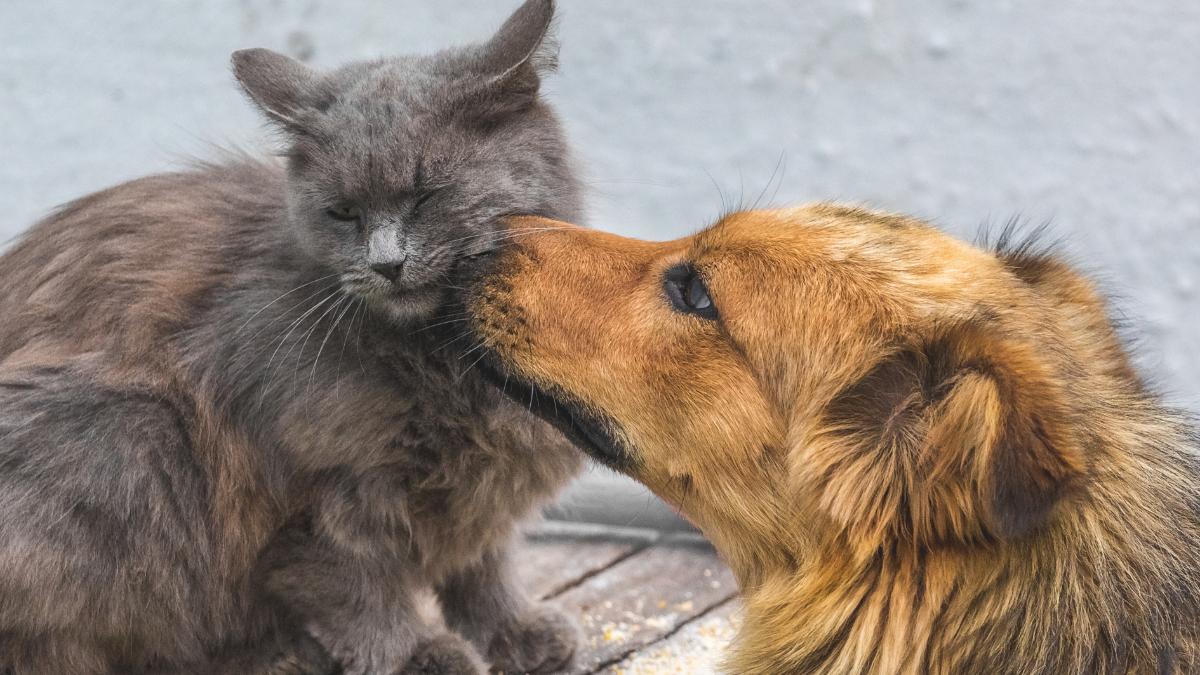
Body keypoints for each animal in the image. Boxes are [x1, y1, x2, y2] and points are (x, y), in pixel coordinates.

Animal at [0, 2, 585, 667]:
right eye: (342, 212)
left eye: (426, 196)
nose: (386, 262)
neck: (443, 356)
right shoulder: (312, 492)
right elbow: (359, 592)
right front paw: (415, 656)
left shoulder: (483, 486)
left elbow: (484, 564)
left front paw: (519, 631)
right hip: (128, 432)